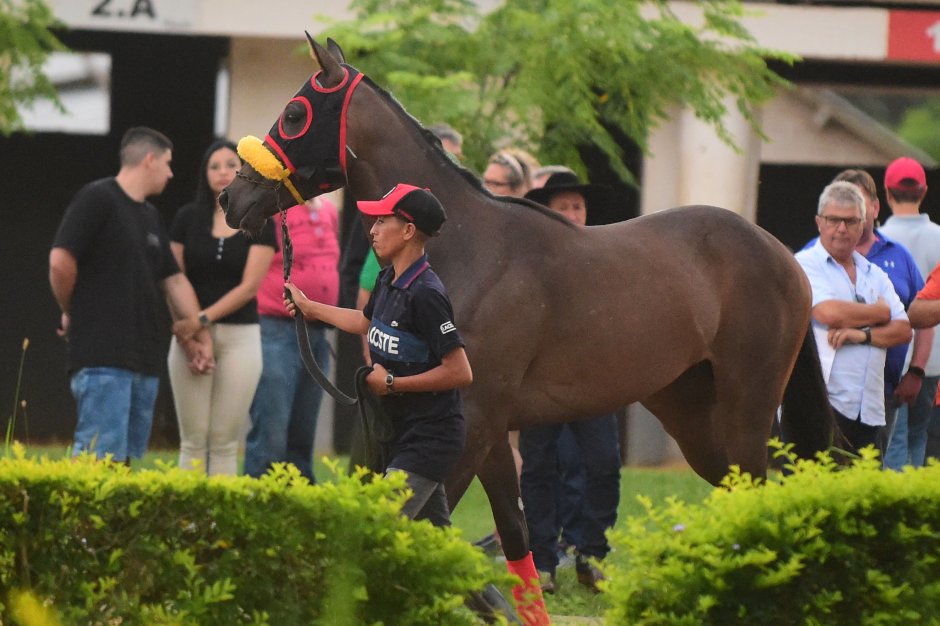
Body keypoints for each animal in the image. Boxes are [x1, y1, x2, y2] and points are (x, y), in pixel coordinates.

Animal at [221, 36, 833, 624]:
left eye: (294, 114)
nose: (232, 196)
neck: (464, 248)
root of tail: (786, 256)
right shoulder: (487, 425)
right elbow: (512, 536)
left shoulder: (471, 420)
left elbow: (421, 527)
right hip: (694, 414)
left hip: (745, 406)